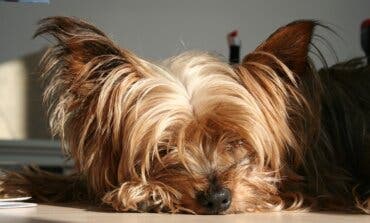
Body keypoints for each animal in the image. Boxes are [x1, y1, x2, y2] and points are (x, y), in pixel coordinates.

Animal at [0, 16, 370, 213]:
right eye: (164, 149)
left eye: (237, 141)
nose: (218, 199)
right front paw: (14, 181)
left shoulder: (309, 186)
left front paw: (147, 193)